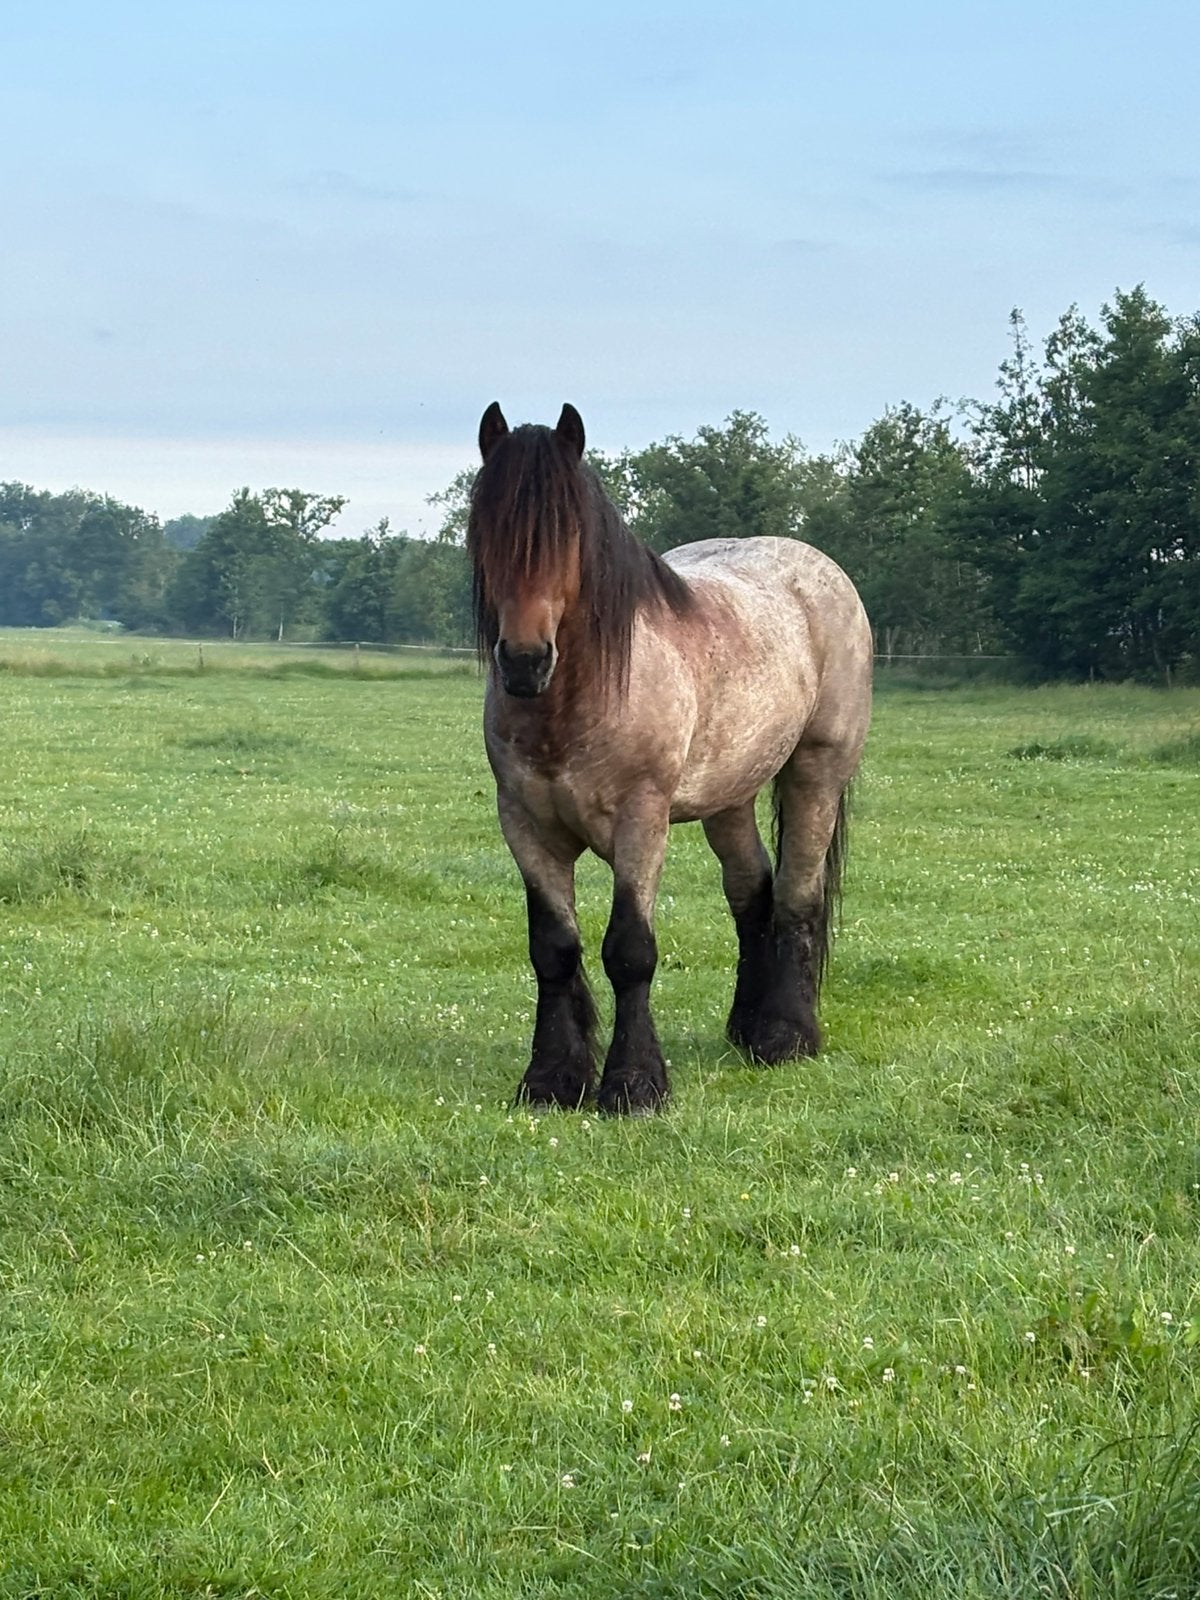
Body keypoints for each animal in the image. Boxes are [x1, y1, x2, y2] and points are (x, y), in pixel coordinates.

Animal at [468, 402, 872, 1116]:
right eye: (487, 528)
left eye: (570, 535)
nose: (523, 661)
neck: (581, 696)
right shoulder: (526, 826)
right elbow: (553, 949)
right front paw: (552, 1078)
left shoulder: (641, 824)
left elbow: (629, 951)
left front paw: (634, 1085)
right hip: (730, 795)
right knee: (752, 894)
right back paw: (746, 1028)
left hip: (817, 771)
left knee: (796, 895)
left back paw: (786, 1036)